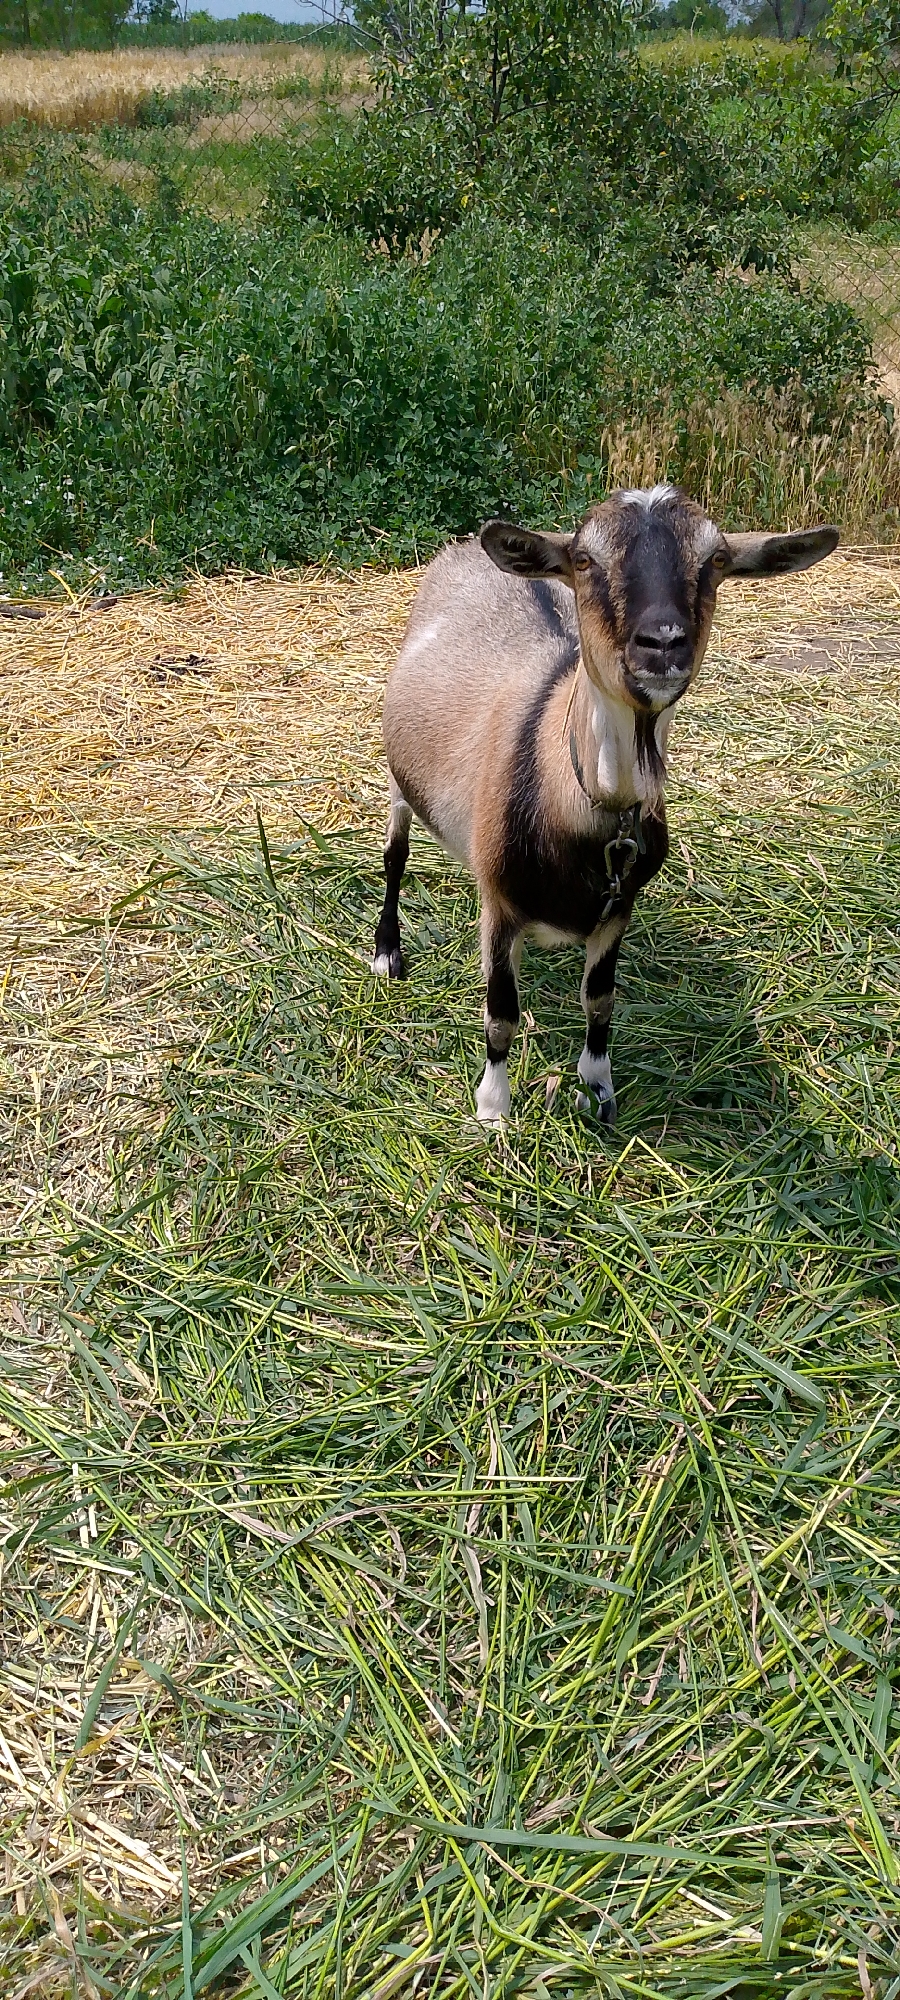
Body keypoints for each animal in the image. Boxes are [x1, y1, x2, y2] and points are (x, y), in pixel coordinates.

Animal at [374, 485, 838, 1124]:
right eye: (584, 559)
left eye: (717, 559)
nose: (663, 642)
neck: (595, 803)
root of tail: (465, 548)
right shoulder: (500, 902)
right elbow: (500, 1012)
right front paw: (493, 1107)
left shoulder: (619, 906)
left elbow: (600, 999)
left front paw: (598, 1087)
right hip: (399, 779)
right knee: (394, 855)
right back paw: (386, 951)